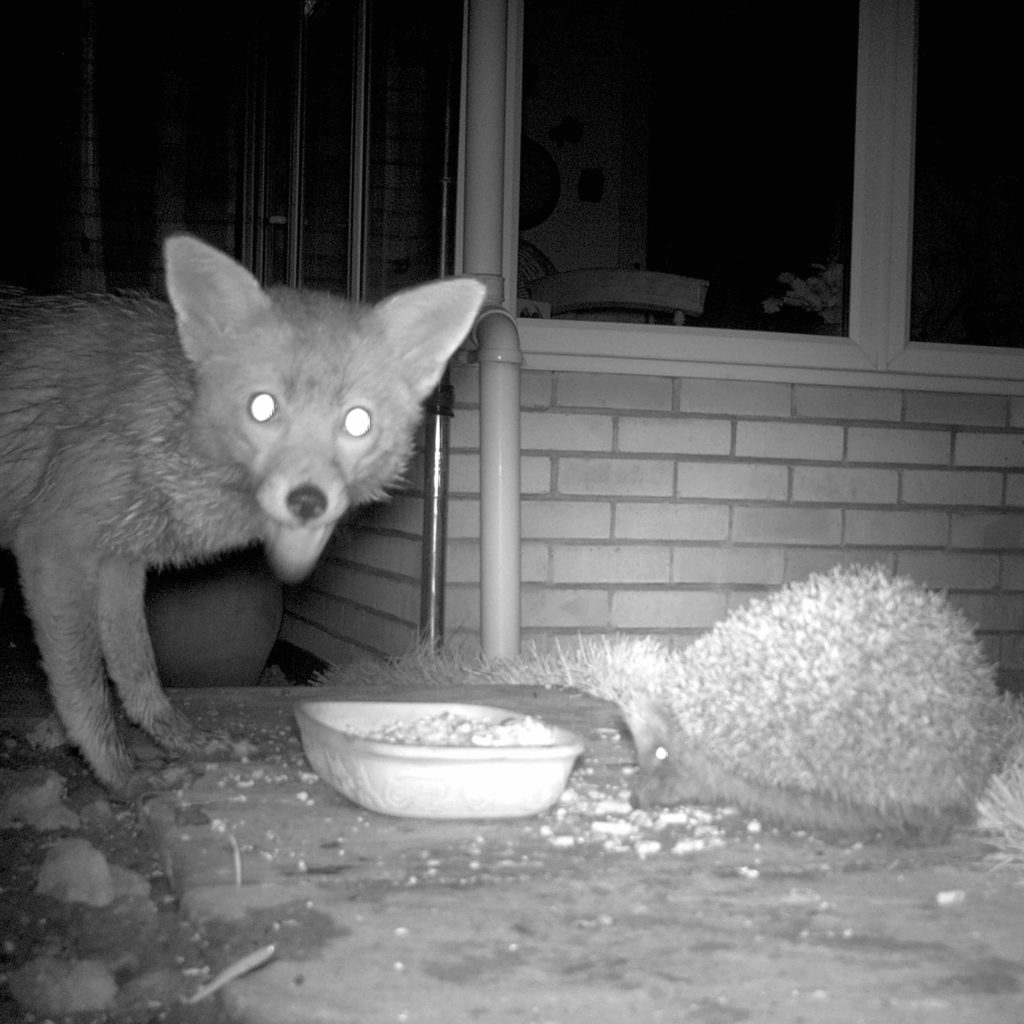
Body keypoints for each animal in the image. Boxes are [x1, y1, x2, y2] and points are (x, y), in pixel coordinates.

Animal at [0, 235, 487, 794]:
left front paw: (181, 742)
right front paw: (119, 775)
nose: (307, 501)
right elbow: (84, 688)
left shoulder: (119, 562)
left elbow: (138, 672)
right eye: (262, 408)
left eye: (357, 422)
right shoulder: (53, 543)